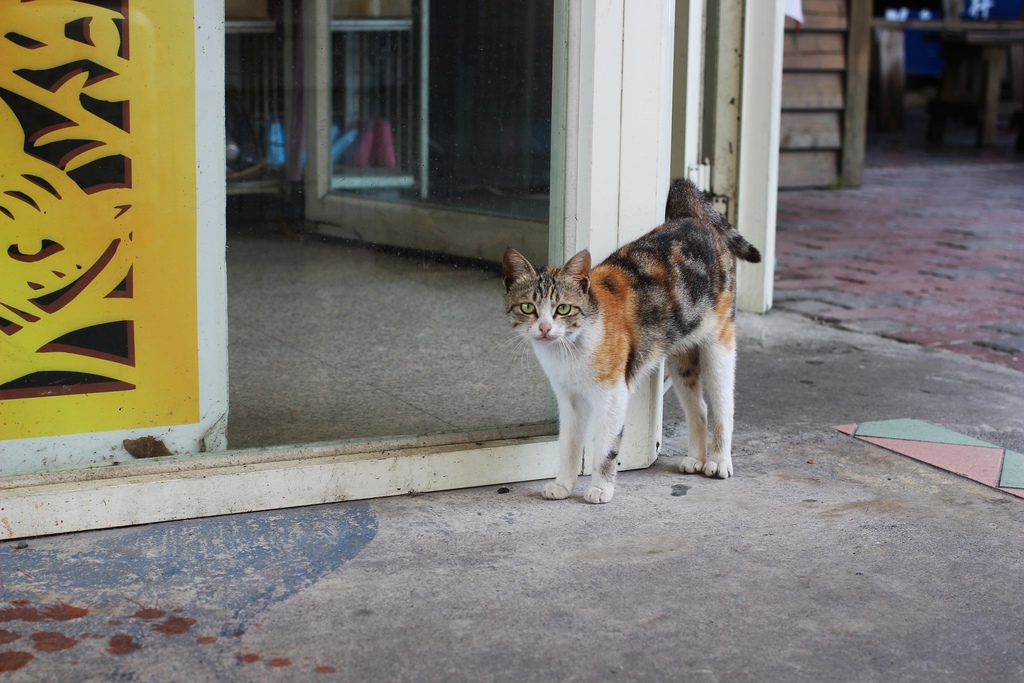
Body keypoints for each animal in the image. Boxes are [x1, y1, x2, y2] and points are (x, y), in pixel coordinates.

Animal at [503, 179, 761, 505]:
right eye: (527, 307)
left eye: (563, 308)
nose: (545, 328)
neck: (570, 349)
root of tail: (691, 218)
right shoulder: (569, 398)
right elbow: (568, 444)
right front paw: (563, 485)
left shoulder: (614, 395)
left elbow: (605, 447)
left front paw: (601, 488)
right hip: (680, 358)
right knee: (699, 407)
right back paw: (696, 459)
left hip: (718, 344)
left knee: (724, 405)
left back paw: (718, 461)